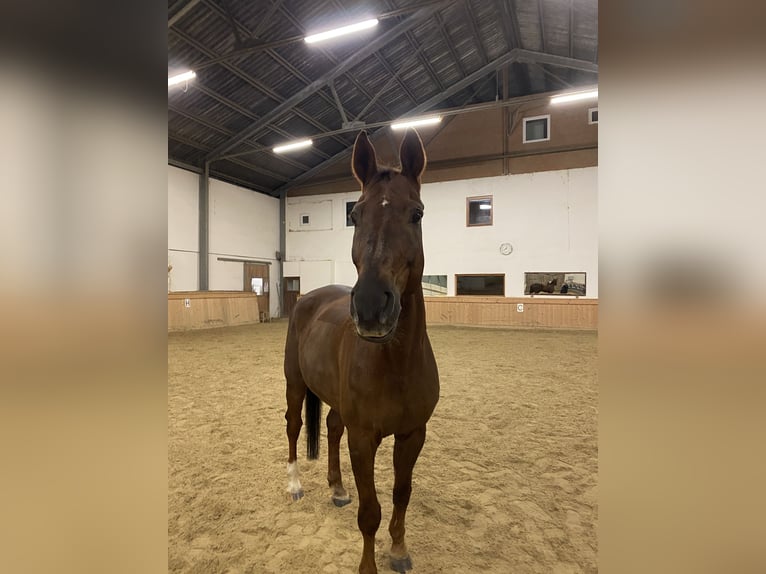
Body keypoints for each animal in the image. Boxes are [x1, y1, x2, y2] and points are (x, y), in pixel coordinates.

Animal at [284, 130, 440, 574]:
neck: (396, 363)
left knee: (331, 427)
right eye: (355, 214)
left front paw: (399, 551)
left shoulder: (413, 434)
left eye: (417, 213)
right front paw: (368, 565)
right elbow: (370, 511)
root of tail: (310, 297)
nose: (371, 306)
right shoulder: (363, 437)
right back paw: (295, 484)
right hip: (295, 384)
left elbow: (402, 493)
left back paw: (337, 488)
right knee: (293, 426)